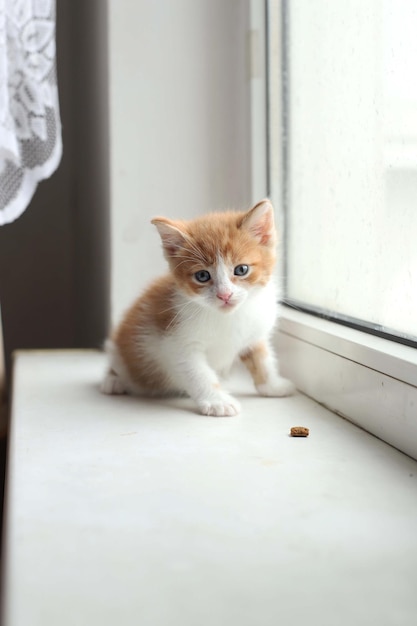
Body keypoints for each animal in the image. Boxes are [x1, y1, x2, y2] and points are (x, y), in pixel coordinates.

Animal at [101, 200, 296, 414]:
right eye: (202, 276)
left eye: (241, 269)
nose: (224, 295)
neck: (227, 316)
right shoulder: (176, 342)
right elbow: (198, 373)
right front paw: (218, 401)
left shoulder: (254, 331)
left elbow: (262, 358)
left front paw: (273, 386)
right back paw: (113, 381)